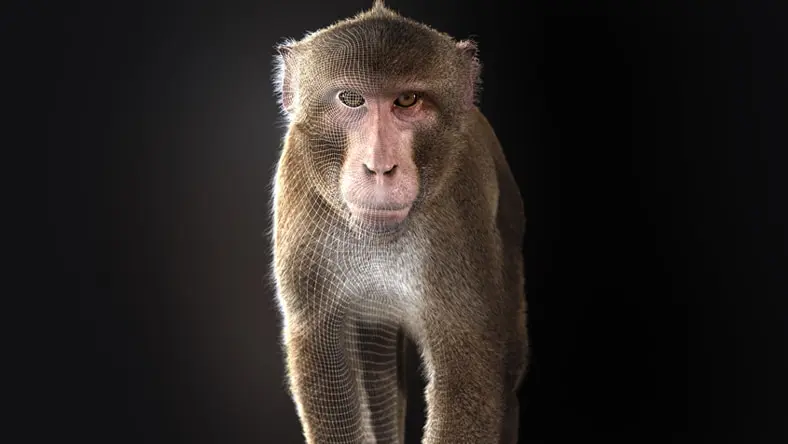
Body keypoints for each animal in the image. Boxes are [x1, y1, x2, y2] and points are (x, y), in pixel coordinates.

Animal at [270, 1, 527, 443]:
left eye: (407, 100)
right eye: (351, 98)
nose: (380, 167)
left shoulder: (458, 215)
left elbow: (469, 369)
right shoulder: (300, 189)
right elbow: (322, 345)